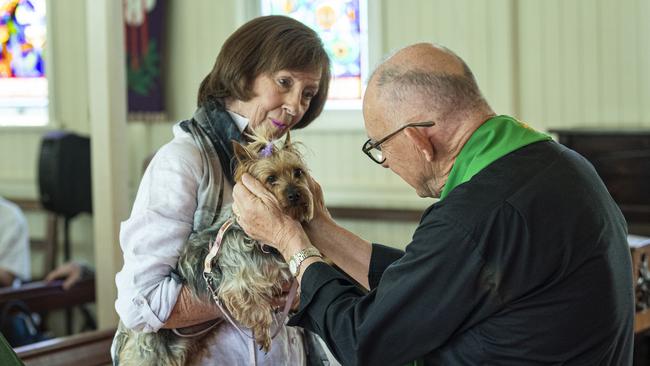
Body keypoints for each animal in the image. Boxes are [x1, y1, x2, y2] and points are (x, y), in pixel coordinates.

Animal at [113, 130, 314, 364]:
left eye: (298, 172)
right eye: (271, 179)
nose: (295, 194)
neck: (260, 242)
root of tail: (127, 331)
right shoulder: (234, 285)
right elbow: (255, 307)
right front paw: (263, 334)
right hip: (150, 354)